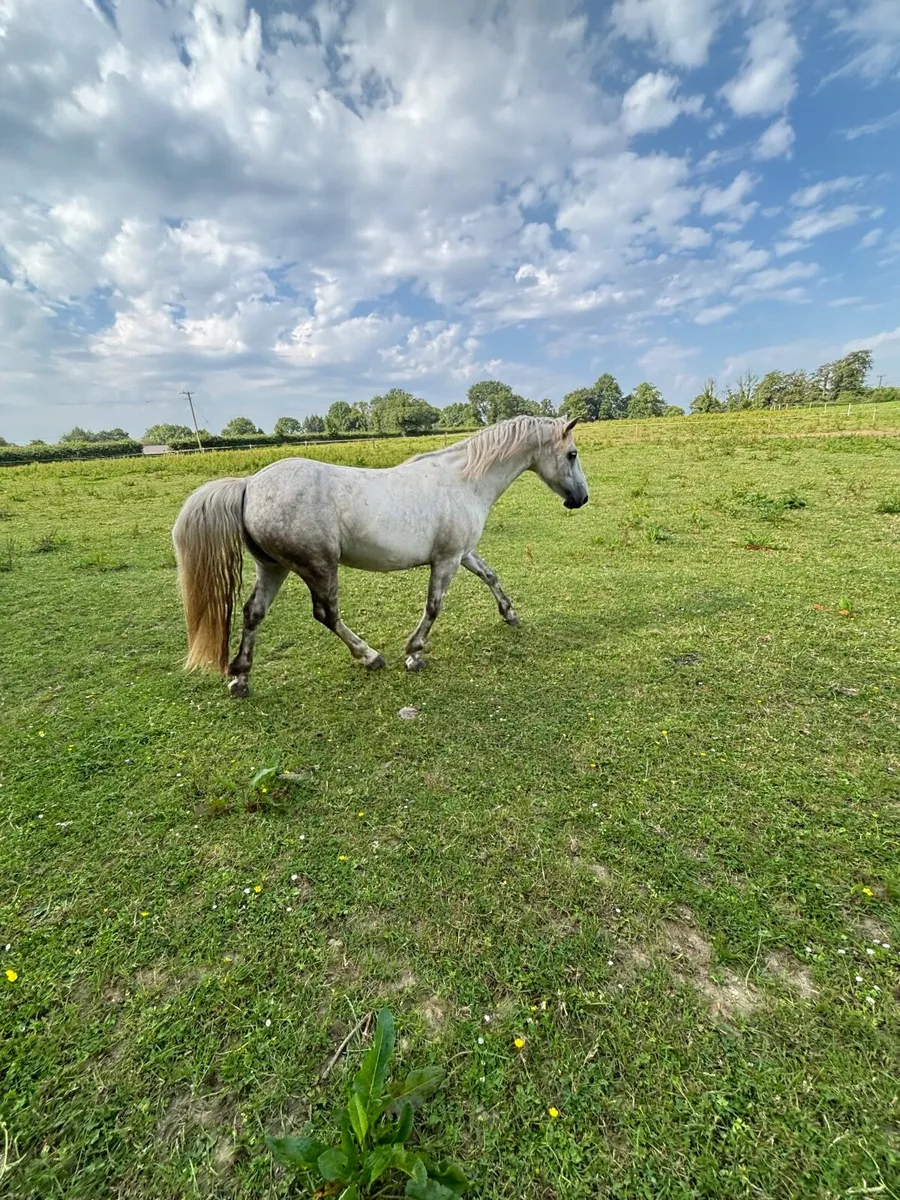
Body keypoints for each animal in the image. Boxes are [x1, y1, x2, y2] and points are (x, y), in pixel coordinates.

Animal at [172, 415, 589, 696]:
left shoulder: (463, 552)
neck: (464, 481)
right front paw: (414, 654)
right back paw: (370, 656)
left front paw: (510, 614)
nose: (581, 499)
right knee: (326, 614)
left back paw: (240, 678)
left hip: (273, 568)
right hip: (318, 567)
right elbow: (434, 606)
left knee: (253, 613)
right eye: (571, 454)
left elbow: (490, 575)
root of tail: (250, 484)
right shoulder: (447, 559)